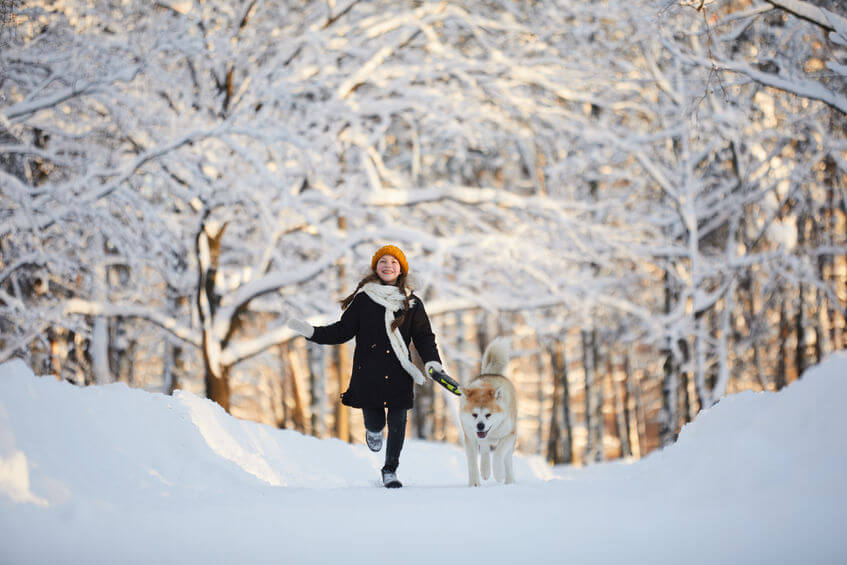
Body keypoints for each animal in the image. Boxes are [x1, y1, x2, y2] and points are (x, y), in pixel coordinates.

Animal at [464, 338, 516, 486]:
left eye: (488, 415)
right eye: (474, 415)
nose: (480, 425)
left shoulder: (510, 434)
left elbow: (498, 454)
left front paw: (499, 474)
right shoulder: (470, 438)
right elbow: (472, 462)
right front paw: (474, 483)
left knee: (507, 459)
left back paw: (509, 480)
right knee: (485, 450)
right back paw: (485, 470)